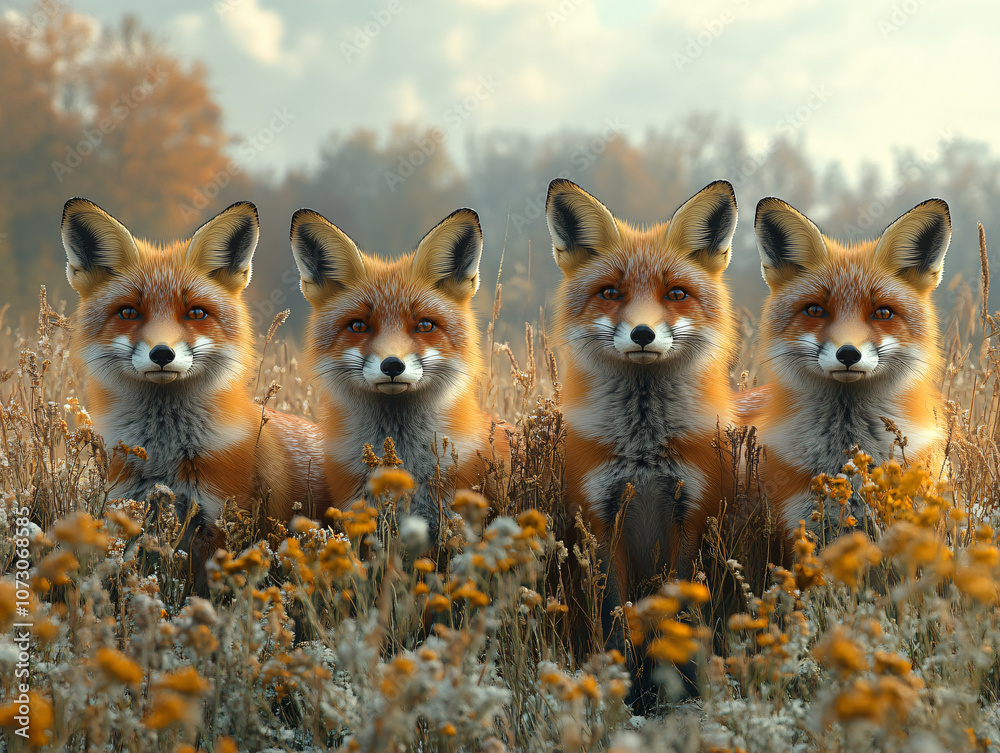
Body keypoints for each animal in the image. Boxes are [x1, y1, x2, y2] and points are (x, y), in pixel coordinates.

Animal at [62, 198, 329, 582]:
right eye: (128, 312)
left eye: (196, 313)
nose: (162, 354)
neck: (165, 454)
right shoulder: (133, 512)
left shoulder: (216, 523)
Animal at [545, 178, 740, 673]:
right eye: (611, 293)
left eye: (676, 294)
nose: (643, 334)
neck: (644, 448)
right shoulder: (601, 519)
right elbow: (616, 614)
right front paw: (624, 676)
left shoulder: (689, 514)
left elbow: (679, 608)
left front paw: (680, 675)